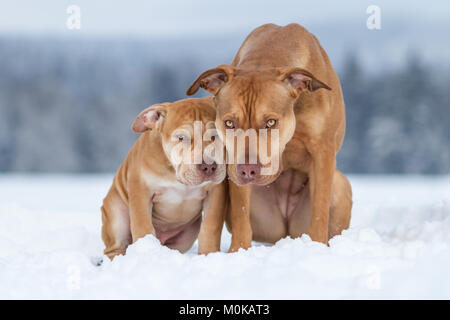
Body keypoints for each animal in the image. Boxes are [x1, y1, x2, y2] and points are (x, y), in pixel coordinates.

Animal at [103, 97, 229, 260]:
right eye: (181, 138)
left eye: (216, 135)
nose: (208, 166)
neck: (174, 172)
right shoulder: (141, 192)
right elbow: (143, 227)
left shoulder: (216, 192)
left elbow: (210, 226)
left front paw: (209, 254)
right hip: (116, 215)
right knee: (114, 248)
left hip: (187, 235)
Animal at [186, 23, 352, 252]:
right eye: (229, 123)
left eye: (271, 122)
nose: (248, 169)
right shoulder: (235, 168)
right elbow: (241, 212)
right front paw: (239, 250)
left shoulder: (322, 151)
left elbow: (319, 211)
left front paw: (316, 247)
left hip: (341, 185)